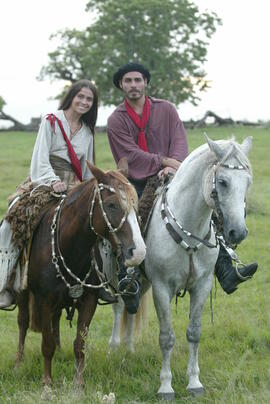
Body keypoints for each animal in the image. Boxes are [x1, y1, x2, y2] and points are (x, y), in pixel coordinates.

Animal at [15, 161, 146, 388]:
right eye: (111, 205)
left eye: (134, 204)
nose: (137, 252)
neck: (69, 246)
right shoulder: (44, 299)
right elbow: (46, 344)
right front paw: (47, 383)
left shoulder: (89, 300)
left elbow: (79, 343)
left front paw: (78, 384)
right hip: (23, 292)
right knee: (23, 321)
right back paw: (19, 361)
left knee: (56, 319)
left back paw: (60, 351)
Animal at [107, 135, 253, 398]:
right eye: (223, 182)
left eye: (247, 182)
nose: (238, 232)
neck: (189, 229)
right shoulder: (161, 288)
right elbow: (166, 337)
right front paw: (166, 386)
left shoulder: (202, 285)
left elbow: (194, 332)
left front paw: (194, 382)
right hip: (120, 278)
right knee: (119, 306)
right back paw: (114, 348)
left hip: (143, 282)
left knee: (132, 307)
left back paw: (129, 349)